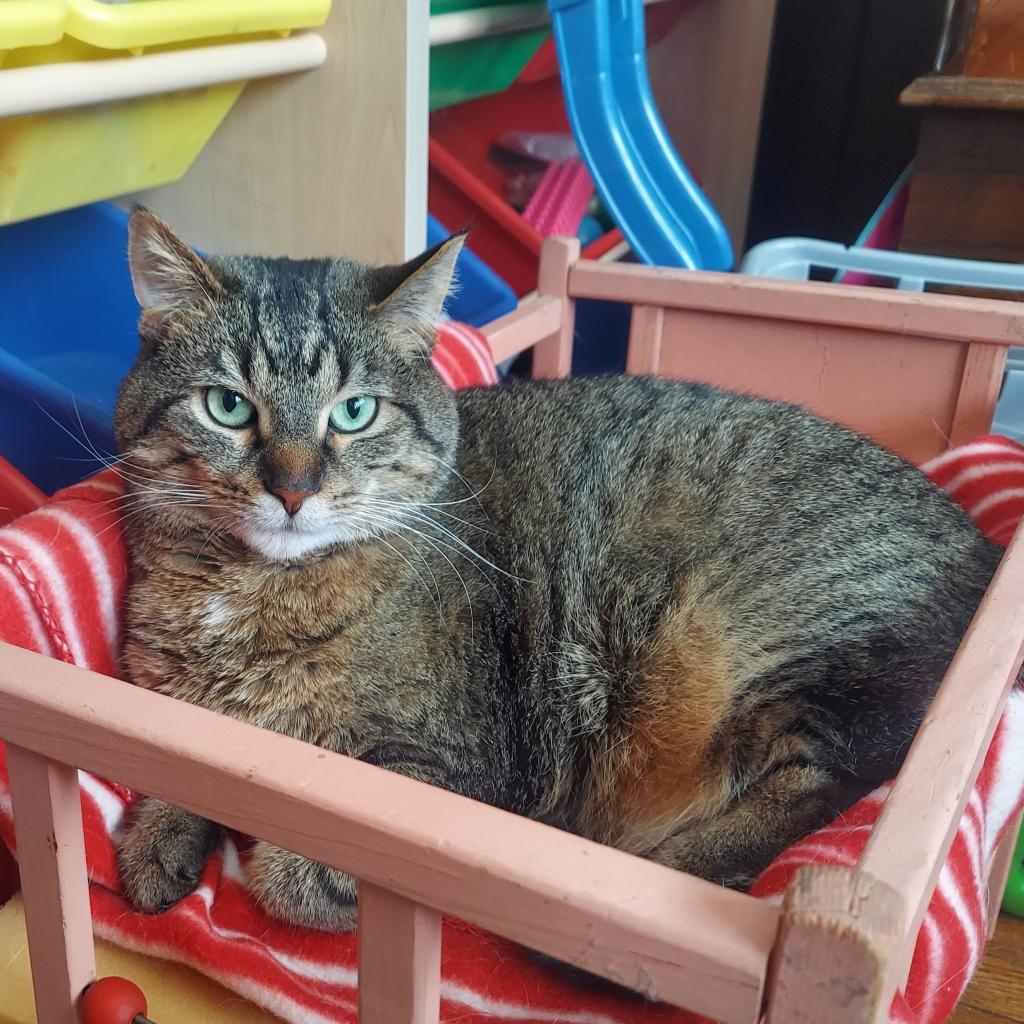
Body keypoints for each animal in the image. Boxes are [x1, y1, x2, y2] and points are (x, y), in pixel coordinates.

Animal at [114, 211, 999, 933]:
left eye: (355, 412)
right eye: (228, 406)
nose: (293, 490)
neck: (251, 591)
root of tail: (984, 539)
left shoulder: (449, 766)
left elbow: (300, 870)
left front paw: (269, 853)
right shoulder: (170, 708)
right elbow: (171, 758)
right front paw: (159, 834)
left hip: (780, 646)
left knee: (817, 786)